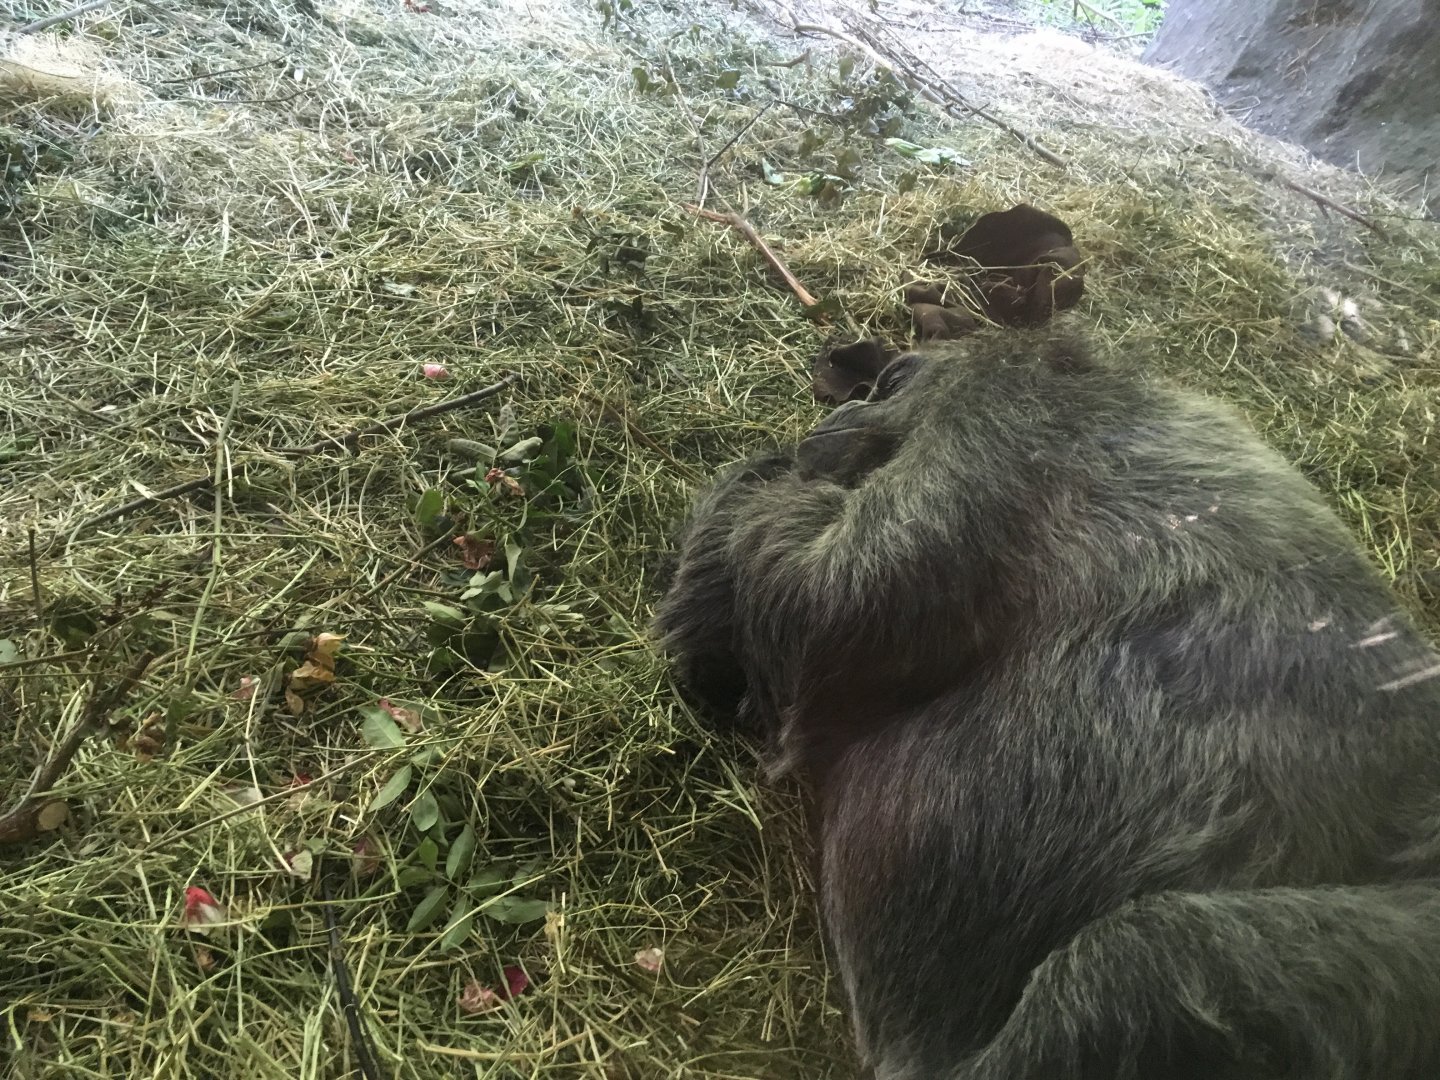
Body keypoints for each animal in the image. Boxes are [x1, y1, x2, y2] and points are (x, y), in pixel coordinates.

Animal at [652, 327, 1440, 1080]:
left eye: (884, 385)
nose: (839, 413)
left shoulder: (989, 426)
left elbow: (824, 605)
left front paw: (760, 481)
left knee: (1144, 963)